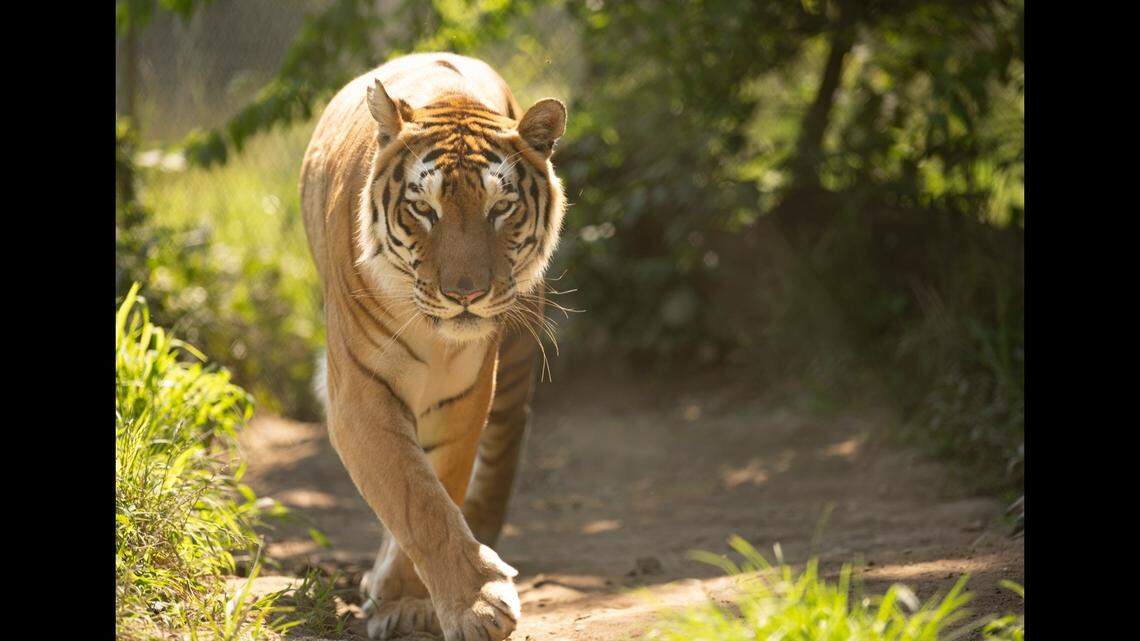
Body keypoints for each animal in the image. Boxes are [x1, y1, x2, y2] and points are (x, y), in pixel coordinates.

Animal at [299, 52, 567, 641]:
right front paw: (474, 604)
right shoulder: (359, 393)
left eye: (501, 208)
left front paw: (416, 599)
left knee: (505, 441)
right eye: (424, 209)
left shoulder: (464, 393)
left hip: (516, 360)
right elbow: (413, 498)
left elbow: (439, 485)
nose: (464, 293)